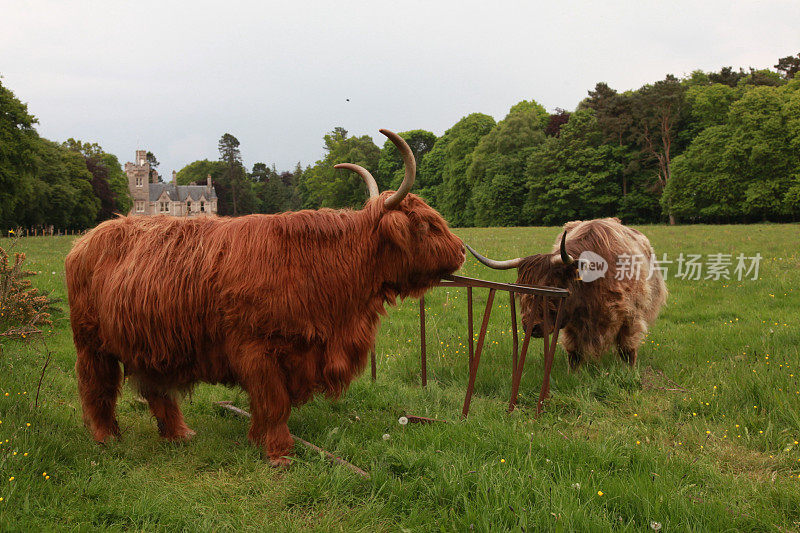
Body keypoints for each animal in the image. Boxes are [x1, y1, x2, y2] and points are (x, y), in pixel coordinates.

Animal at [65, 130, 466, 466]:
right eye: (426, 225)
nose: (462, 251)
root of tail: (90, 236)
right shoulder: (256, 348)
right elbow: (274, 403)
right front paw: (279, 453)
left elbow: (268, 404)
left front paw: (259, 440)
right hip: (91, 341)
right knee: (96, 385)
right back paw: (105, 438)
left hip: (151, 341)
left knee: (157, 390)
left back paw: (180, 435)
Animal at [466, 218, 664, 368]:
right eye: (520, 292)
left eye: (551, 286)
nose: (532, 327)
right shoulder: (572, 325)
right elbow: (574, 353)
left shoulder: (631, 316)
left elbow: (627, 349)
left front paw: (629, 371)